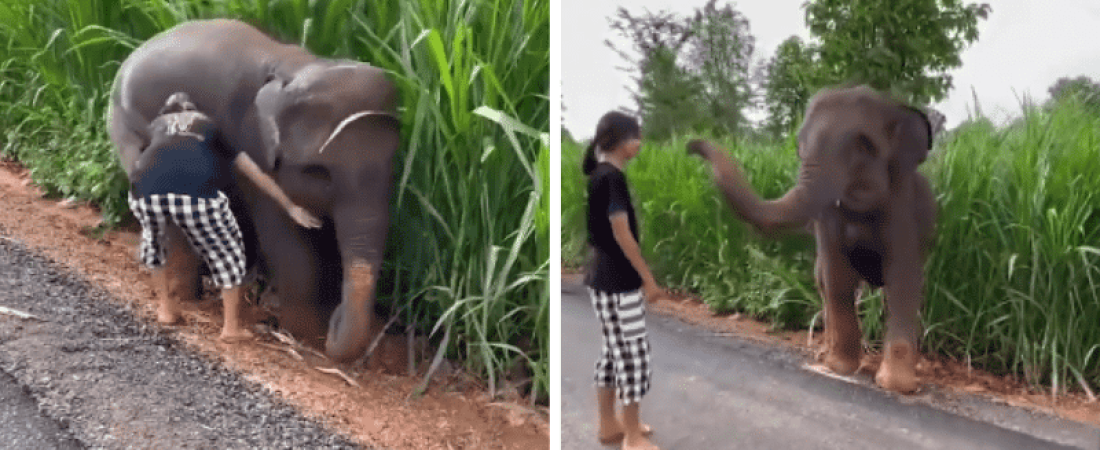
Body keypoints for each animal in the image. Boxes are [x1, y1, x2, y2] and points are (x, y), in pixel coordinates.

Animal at [106, 19, 400, 360]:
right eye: (319, 172)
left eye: (392, 167)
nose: (335, 323)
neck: (300, 66)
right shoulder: (254, 146)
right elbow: (287, 243)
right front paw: (304, 335)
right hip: (126, 130)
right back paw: (184, 300)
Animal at [686, 85, 937, 391]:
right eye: (799, 145)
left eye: (864, 145)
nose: (689, 146)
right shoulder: (828, 220)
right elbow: (837, 277)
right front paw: (839, 367)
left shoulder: (903, 209)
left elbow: (902, 280)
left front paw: (895, 385)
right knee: (824, 283)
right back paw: (823, 354)